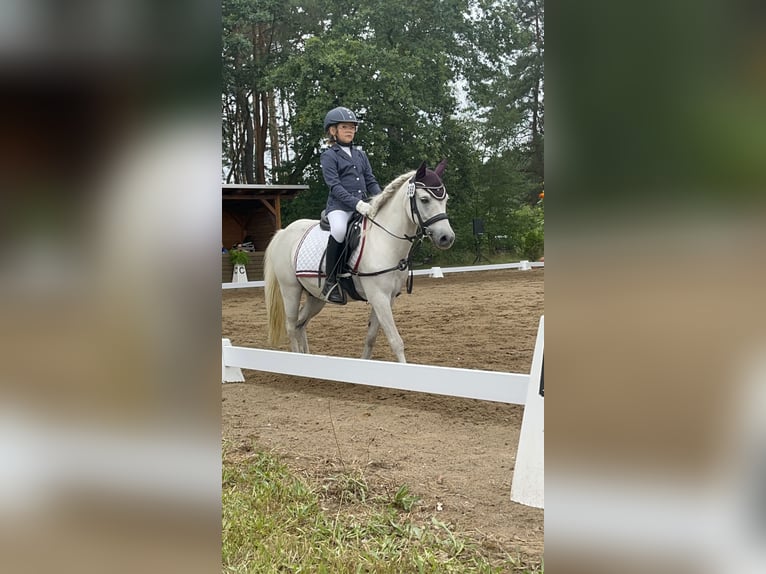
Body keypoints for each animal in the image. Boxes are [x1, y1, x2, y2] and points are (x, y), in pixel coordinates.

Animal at [263, 160, 455, 363]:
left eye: (445, 200)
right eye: (425, 199)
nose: (446, 238)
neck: (384, 241)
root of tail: (284, 232)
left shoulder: (388, 298)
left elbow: (371, 337)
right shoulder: (379, 297)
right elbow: (396, 341)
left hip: (316, 296)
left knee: (301, 324)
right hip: (290, 290)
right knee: (292, 326)